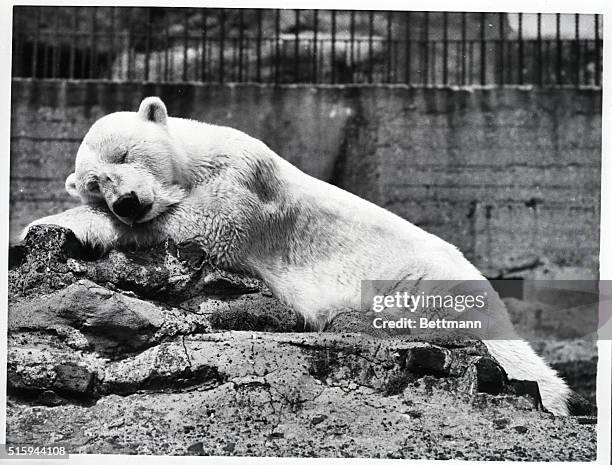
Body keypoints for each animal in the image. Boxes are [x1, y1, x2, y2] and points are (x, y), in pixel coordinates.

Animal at [21, 96, 572, 416]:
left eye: (125, 155)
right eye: (96, 184)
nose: (127, 202)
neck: (196, 157)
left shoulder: (246, 179)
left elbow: (210, 221)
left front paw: (47, 223)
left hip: (417, 282)